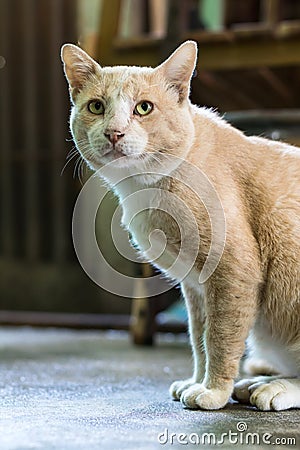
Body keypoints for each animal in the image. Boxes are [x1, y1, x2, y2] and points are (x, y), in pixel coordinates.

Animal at [61, 40, 300, 410]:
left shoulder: (232, 272)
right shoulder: (196, 287)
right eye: (97, 106)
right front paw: (196, 381)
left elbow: (220, 338)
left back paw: (273, 387)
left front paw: (214, 391)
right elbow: (198, 339)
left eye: (144, 108)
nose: (114, 133)